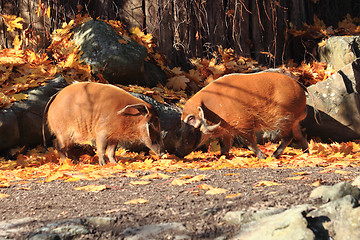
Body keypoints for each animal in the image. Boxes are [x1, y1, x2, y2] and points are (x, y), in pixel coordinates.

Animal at [174, 72, 306, 158]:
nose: (177, 153)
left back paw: (274, 155)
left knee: (289, 137)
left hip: (285, 120)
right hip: (294, 122)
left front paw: (262, 157)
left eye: (191, 118)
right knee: (300, 136)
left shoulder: (243, 124)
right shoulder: (226, 131)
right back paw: (306, 152)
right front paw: (222, 157)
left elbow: (249, 143)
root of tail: (300, 88)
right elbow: (224, 146)